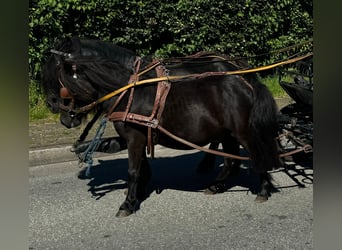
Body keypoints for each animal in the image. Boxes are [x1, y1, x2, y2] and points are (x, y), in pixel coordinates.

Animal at [41, 37, 280, 217]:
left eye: (56, 74)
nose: (63, 117)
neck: (128, 91)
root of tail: (247, 81)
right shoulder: (136, 137)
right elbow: (139, 166)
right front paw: (137, 192)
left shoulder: (135, 138)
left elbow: (133, 170)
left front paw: (128, 204)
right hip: (228, 133)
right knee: (230, 159)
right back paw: (216, 185)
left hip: (243, 132)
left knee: (255, 155)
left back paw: (263, 189)